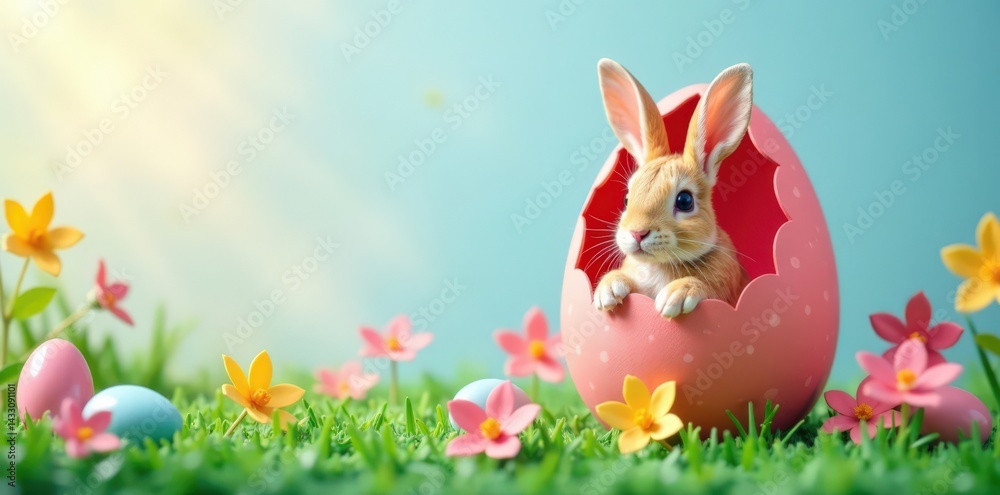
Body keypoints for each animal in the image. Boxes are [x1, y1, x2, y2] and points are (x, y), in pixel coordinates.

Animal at [592, 59, 751, 318]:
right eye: (626, 199)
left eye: (685, 201)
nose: (637, 233)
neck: (659, 264)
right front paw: (608, 291)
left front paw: (677, 295)